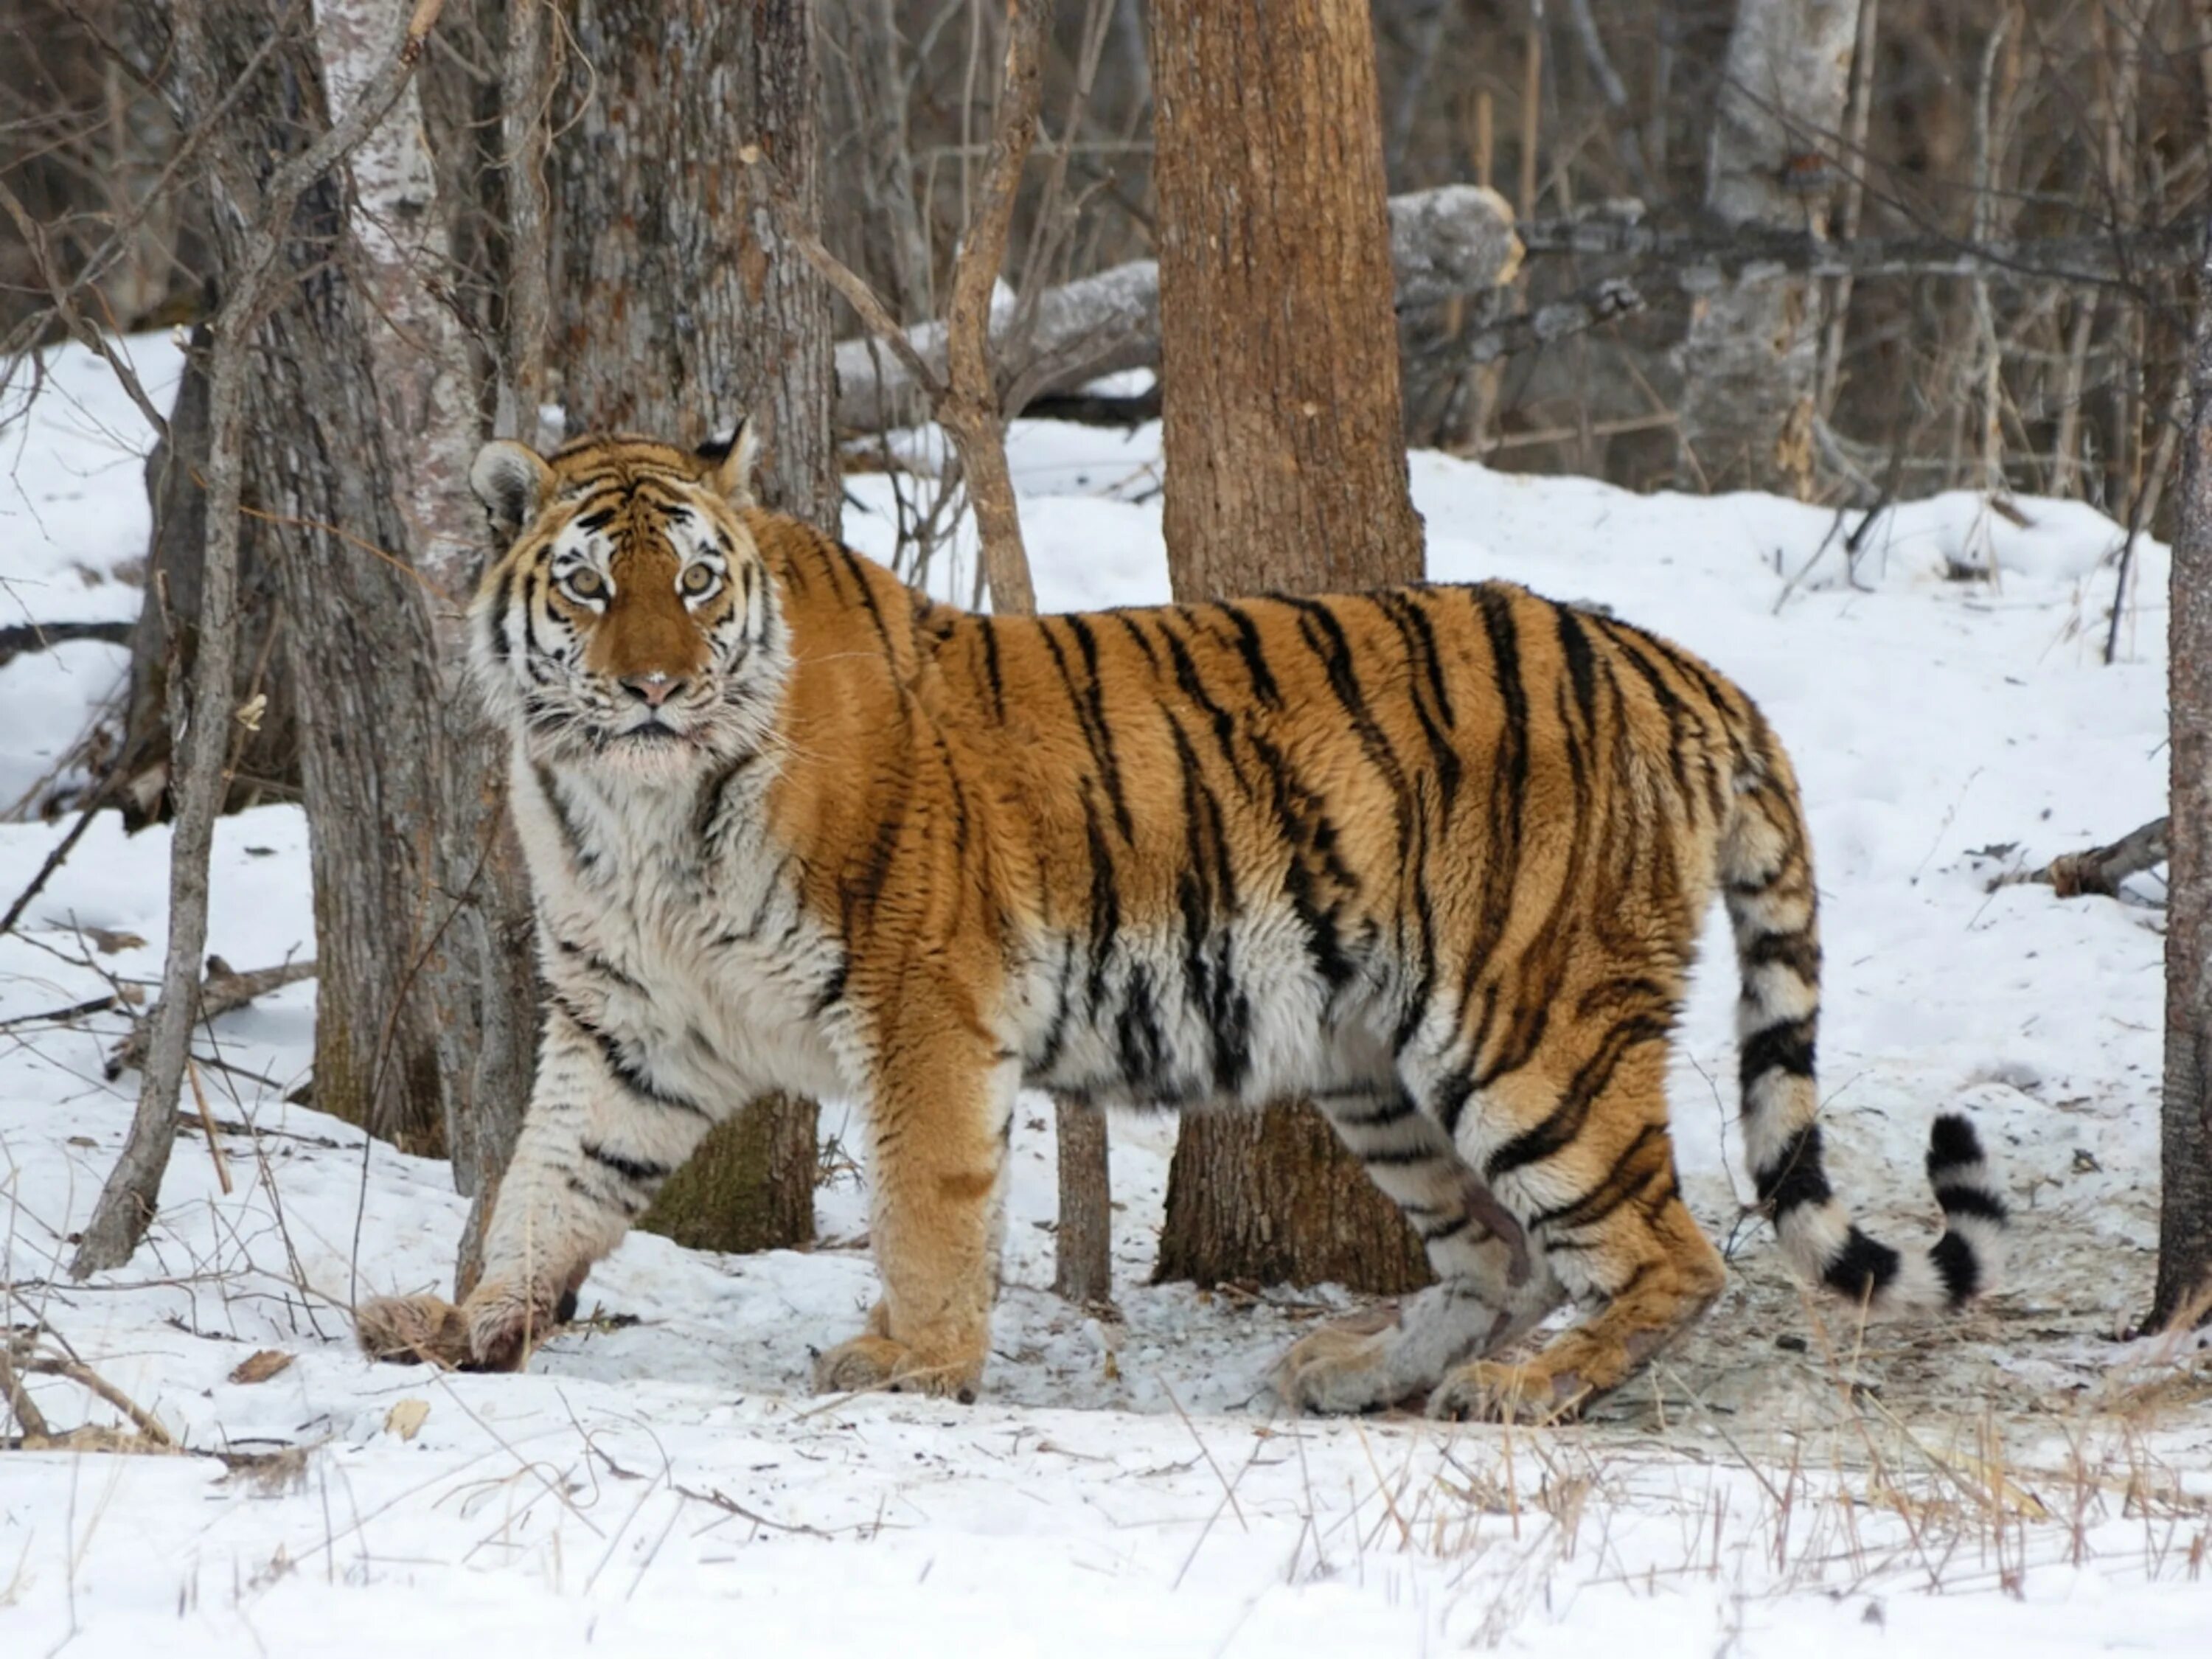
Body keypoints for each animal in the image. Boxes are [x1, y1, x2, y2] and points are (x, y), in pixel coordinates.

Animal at [354, 422, 2017, 1425]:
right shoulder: (627, 1030)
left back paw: (1527, 1395)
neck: (634, 813)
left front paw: (913, 1366)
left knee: (1667, 1256)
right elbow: (542, 1190)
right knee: (1504, 1259)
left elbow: (927, 1209)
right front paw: (464, 1327)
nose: (653, 684)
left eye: (697, 584)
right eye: (588, 588)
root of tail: (1676, 662)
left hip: (1526, 1034)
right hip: (1372, 1063)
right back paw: (1357, 1371)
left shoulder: (921, 1004)